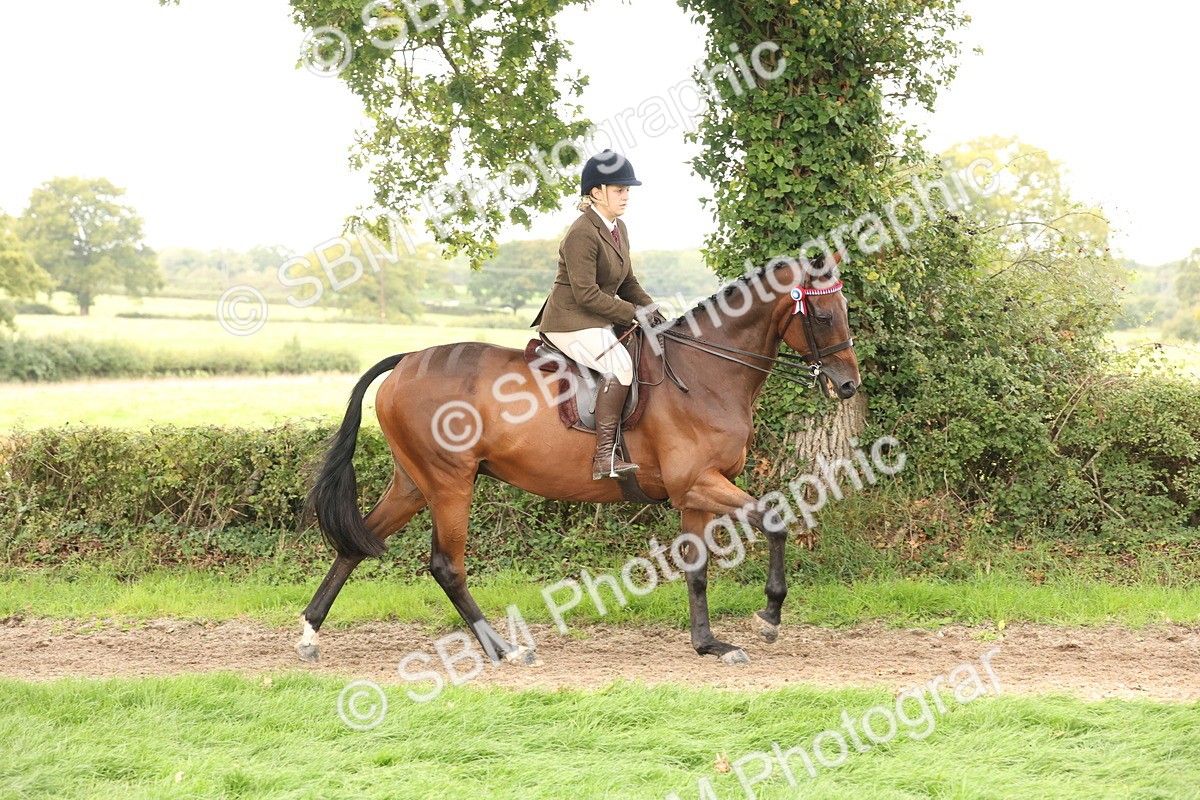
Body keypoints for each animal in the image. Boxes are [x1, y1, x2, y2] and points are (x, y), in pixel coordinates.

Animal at [296, 253, 860, 666]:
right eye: (825, 315)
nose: (848, 385)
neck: (706, 373)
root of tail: (407, 360)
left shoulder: (696, 494)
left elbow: (696, 569)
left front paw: (708, 644)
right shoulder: (698, 482)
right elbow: (775, 520)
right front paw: (769, 617)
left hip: (414, 483)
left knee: (355, 545)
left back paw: (308, 635)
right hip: (450, 482)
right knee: (445, 565)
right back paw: (502, 649)